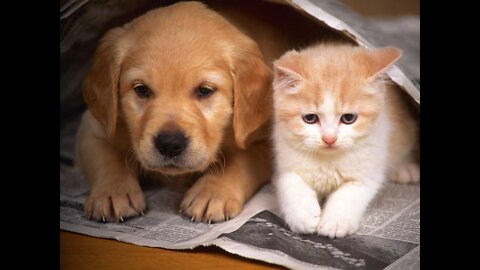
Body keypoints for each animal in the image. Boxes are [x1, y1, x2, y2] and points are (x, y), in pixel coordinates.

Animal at [77, 1, 276, 223]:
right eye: (141, 89)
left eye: (205, 90)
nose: (170, 144)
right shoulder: (93, 128)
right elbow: (107, 157)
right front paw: (113, 192)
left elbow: (242, 160)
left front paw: (212, 192)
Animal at [272, 44, 418, 238]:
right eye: (310, 118)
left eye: (348, 118)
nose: (329, 138)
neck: (328, 160)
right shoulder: (282, 155)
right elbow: (288, 181)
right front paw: (301, 214)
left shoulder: (369, 170)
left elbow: (350, 193)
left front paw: (335, 221)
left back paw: (405, 169)